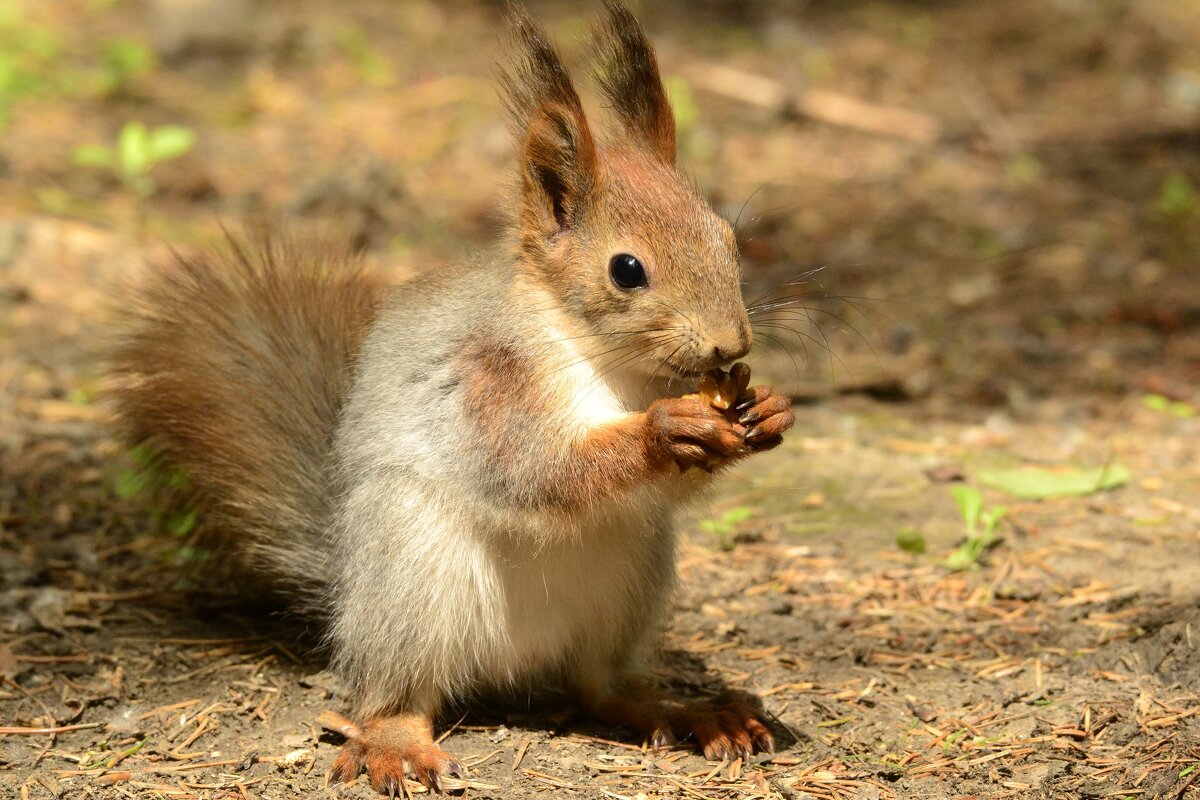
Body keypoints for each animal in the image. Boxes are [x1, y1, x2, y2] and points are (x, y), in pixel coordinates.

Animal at [108, 1, 792, 796]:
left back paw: (686, 712)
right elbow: (535, 471)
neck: (608, 362)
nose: (729, 346)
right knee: (397, 694)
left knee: (601, 688)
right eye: (626, 270)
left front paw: (765, 411)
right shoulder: (484, 384)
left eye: (728, 241)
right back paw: (399, 742)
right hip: (411, 575)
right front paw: (663, 429)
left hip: (632, 579)